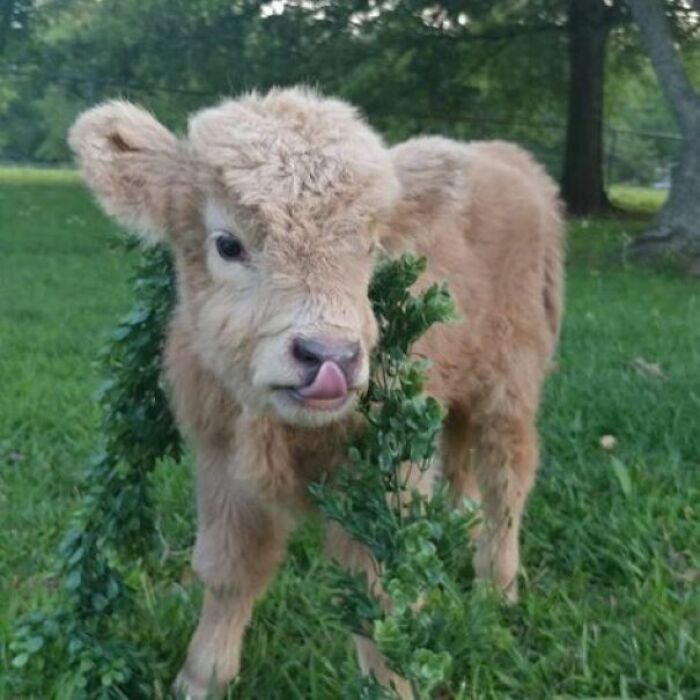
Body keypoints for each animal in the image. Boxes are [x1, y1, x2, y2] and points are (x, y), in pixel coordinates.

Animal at [69, 86, 563, 699]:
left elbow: (381, 592)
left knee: (507, 481)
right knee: (461, 454)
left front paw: (394, 686)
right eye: (227, 243)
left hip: (511, 382)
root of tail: (511, 161)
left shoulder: (385, 475)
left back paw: (497, 587)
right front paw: (202, 676)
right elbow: (228, 569)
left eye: (371, 245)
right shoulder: (223, 465)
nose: (330, 356)